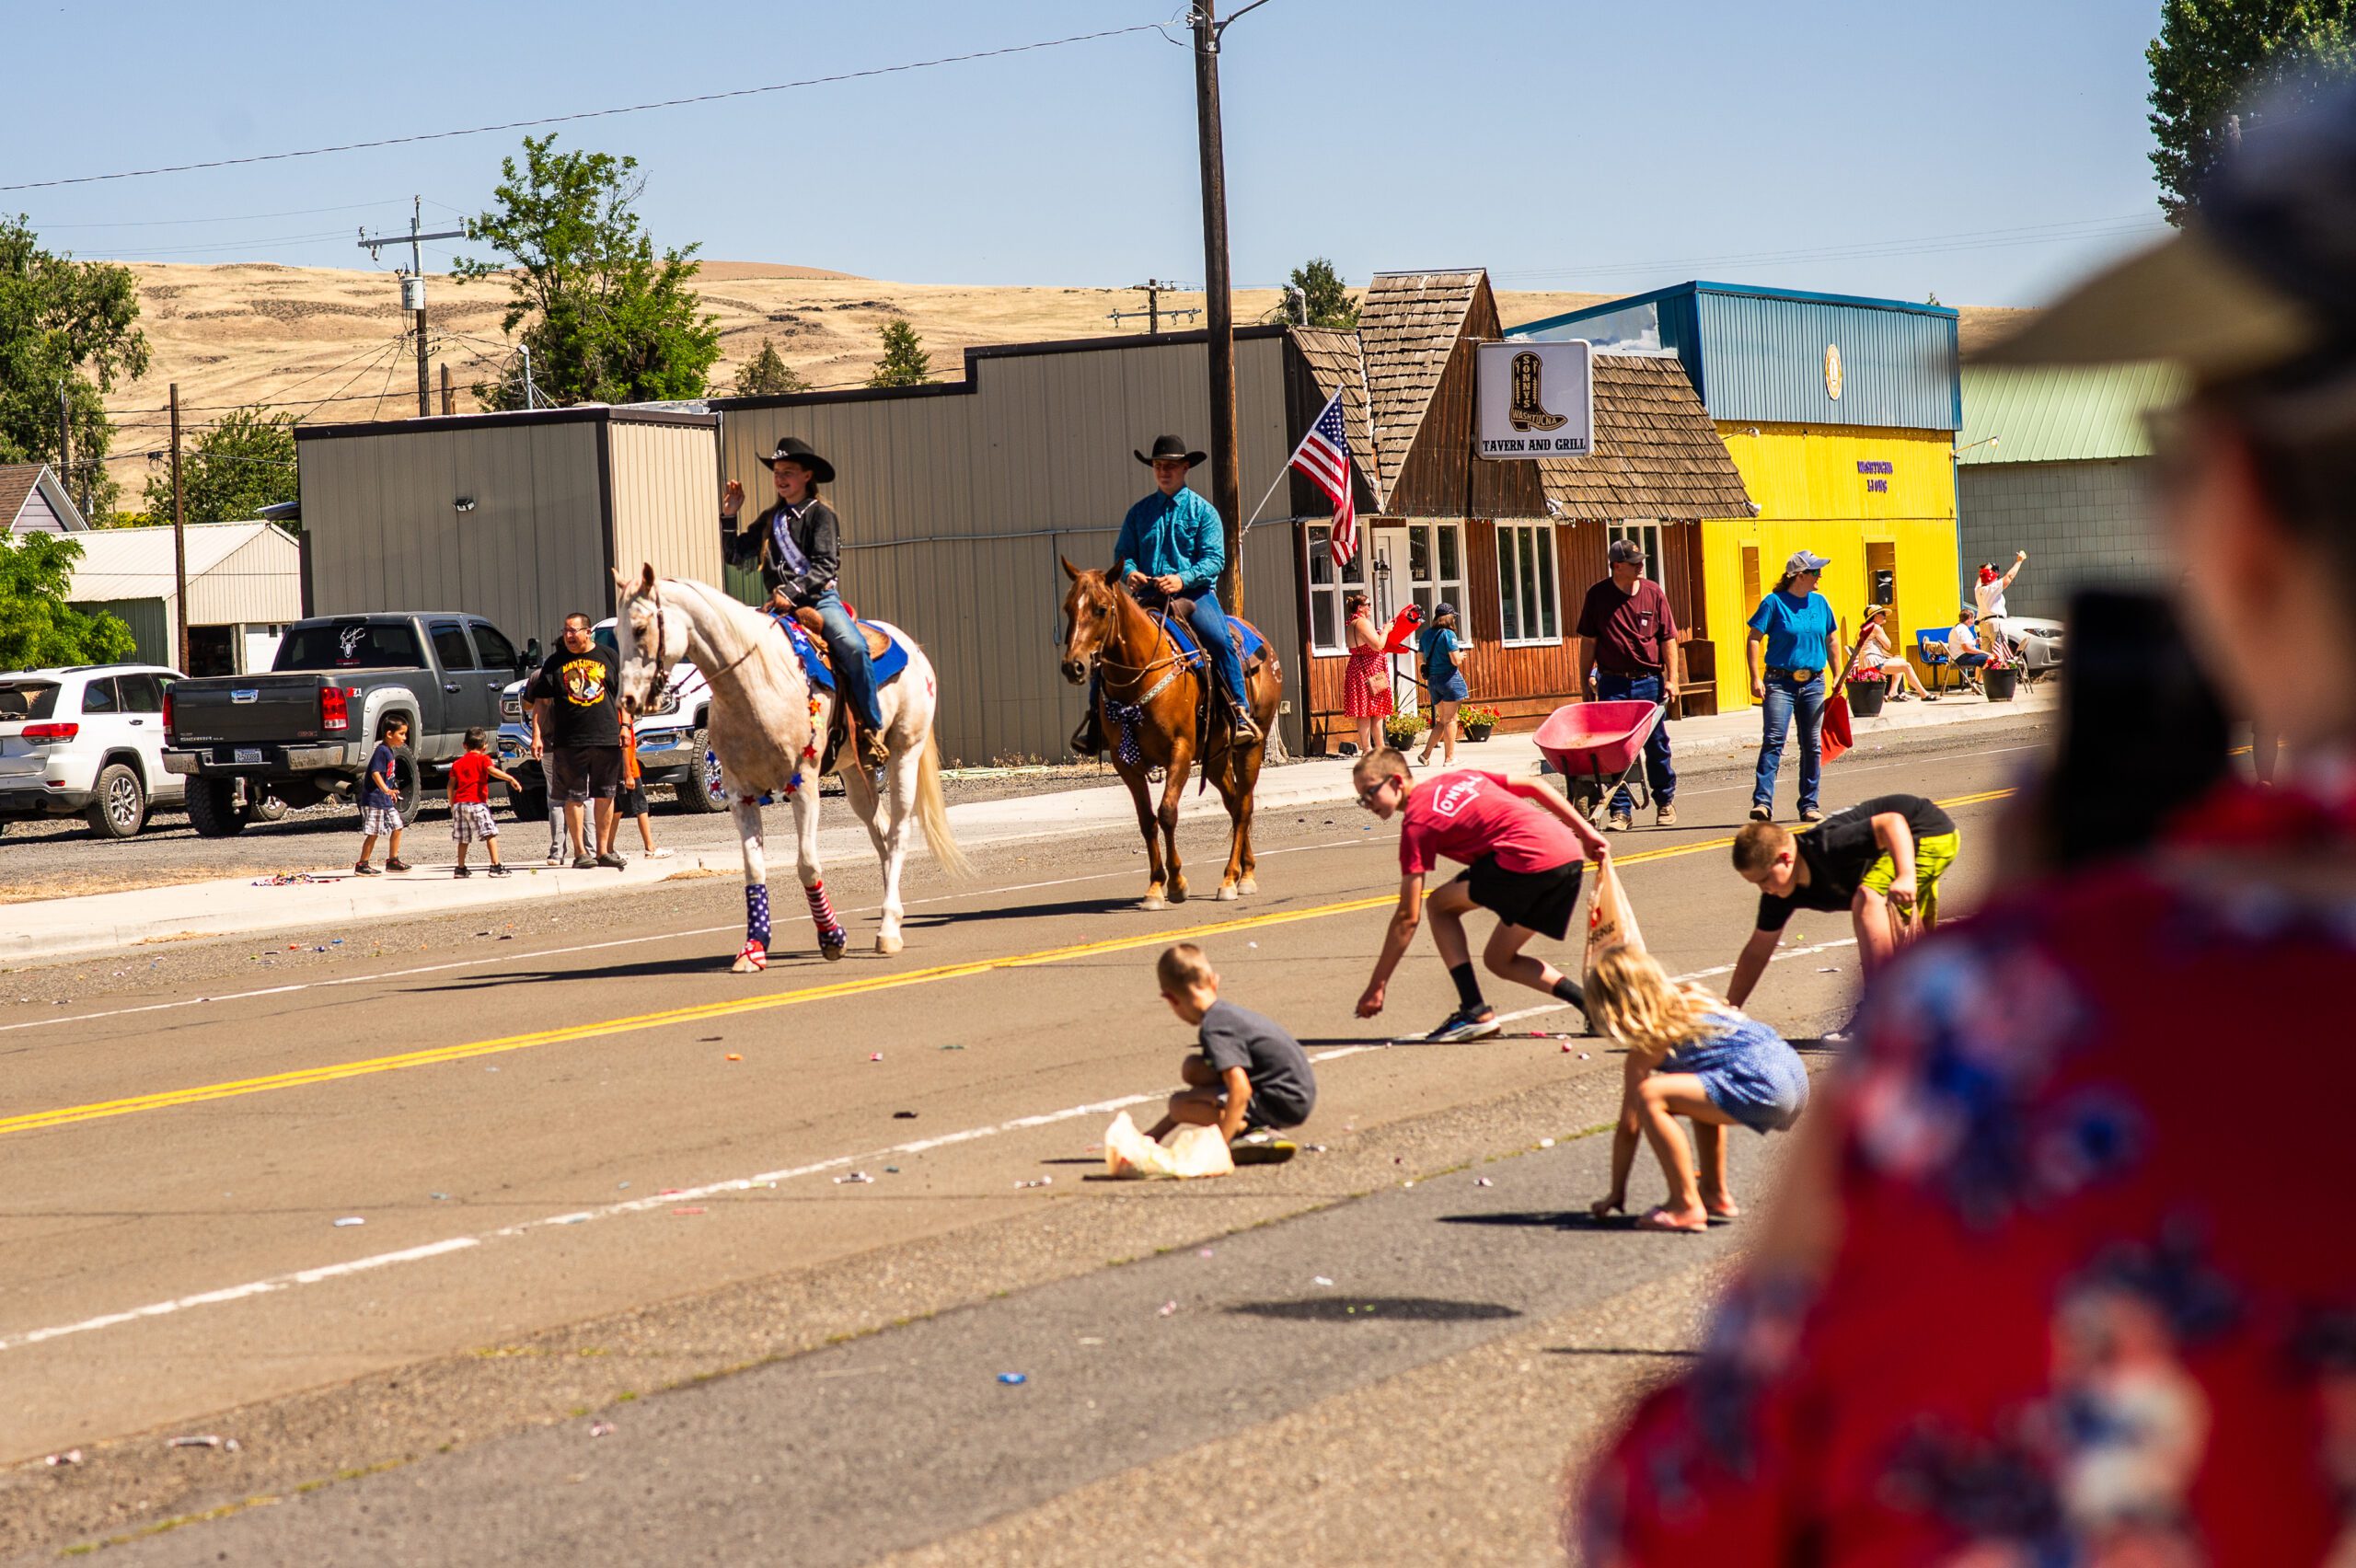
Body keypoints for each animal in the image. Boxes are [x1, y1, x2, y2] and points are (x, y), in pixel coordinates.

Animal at [617, 565, 975, 965]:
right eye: (614, 633)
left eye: (641, 628)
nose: (627, 700)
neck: (755, 684)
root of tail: (912, 647)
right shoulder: (740, 793)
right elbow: (754, 869)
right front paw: (754, 948)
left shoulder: (801, 784)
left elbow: (807, 864)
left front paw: (832, 938)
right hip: (856, 772)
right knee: (880, 833)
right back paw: (890, 918)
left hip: (904, 756)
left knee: (897, 834)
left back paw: (888, 932)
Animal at [1060, 558, 1281, 904]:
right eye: (1068, 608)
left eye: (1101, 609)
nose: (1074, 666)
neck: (1140, 676)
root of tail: (1261, 641)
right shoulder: (1126, 763)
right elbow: (1146, 820)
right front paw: (1154, 886)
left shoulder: (1180, 750)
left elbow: (1166, 813)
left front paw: (1176, 882)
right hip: (1216, 757)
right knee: (1234, 804)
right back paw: (1245, 871)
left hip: (1251, 747)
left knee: (1244, 806)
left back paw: (1233, 880)